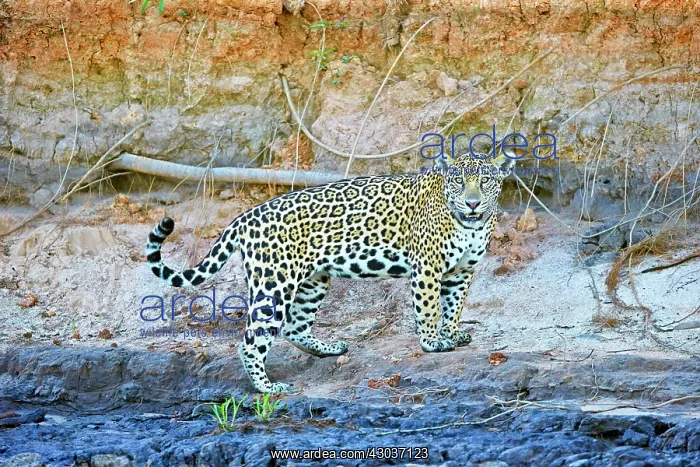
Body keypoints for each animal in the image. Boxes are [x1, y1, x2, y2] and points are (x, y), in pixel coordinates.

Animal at [146, 150, 516, 393]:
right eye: (459, 182)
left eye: (485, 181)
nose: (472, 203)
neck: (470, 224)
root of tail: (245, 216)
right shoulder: (427, 266)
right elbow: (428, 308)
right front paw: (431, 342)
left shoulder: (463, 271)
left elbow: (454, 307)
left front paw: (452, 334)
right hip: (274, 283)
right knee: (251, 340)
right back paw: (268, 388)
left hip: (313, 280)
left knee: (294, 326)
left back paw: (327, 349)